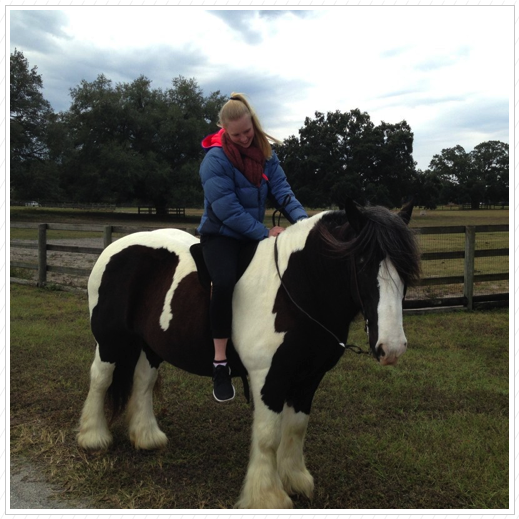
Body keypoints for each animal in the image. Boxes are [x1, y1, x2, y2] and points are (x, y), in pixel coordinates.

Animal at [77, 199, 420, 508]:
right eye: (361, 260)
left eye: (406, 268)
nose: (392, 347)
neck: (296, 289)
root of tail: (115, 248)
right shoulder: (269, 377)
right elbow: (268, 436)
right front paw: (267, 497)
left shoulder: (309, 378)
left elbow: (297, 427)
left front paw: (295, 480)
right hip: (110, 340)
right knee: (101, 378)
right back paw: (93, 437)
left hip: (149, 345)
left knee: (143, 382)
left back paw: (146, 437)